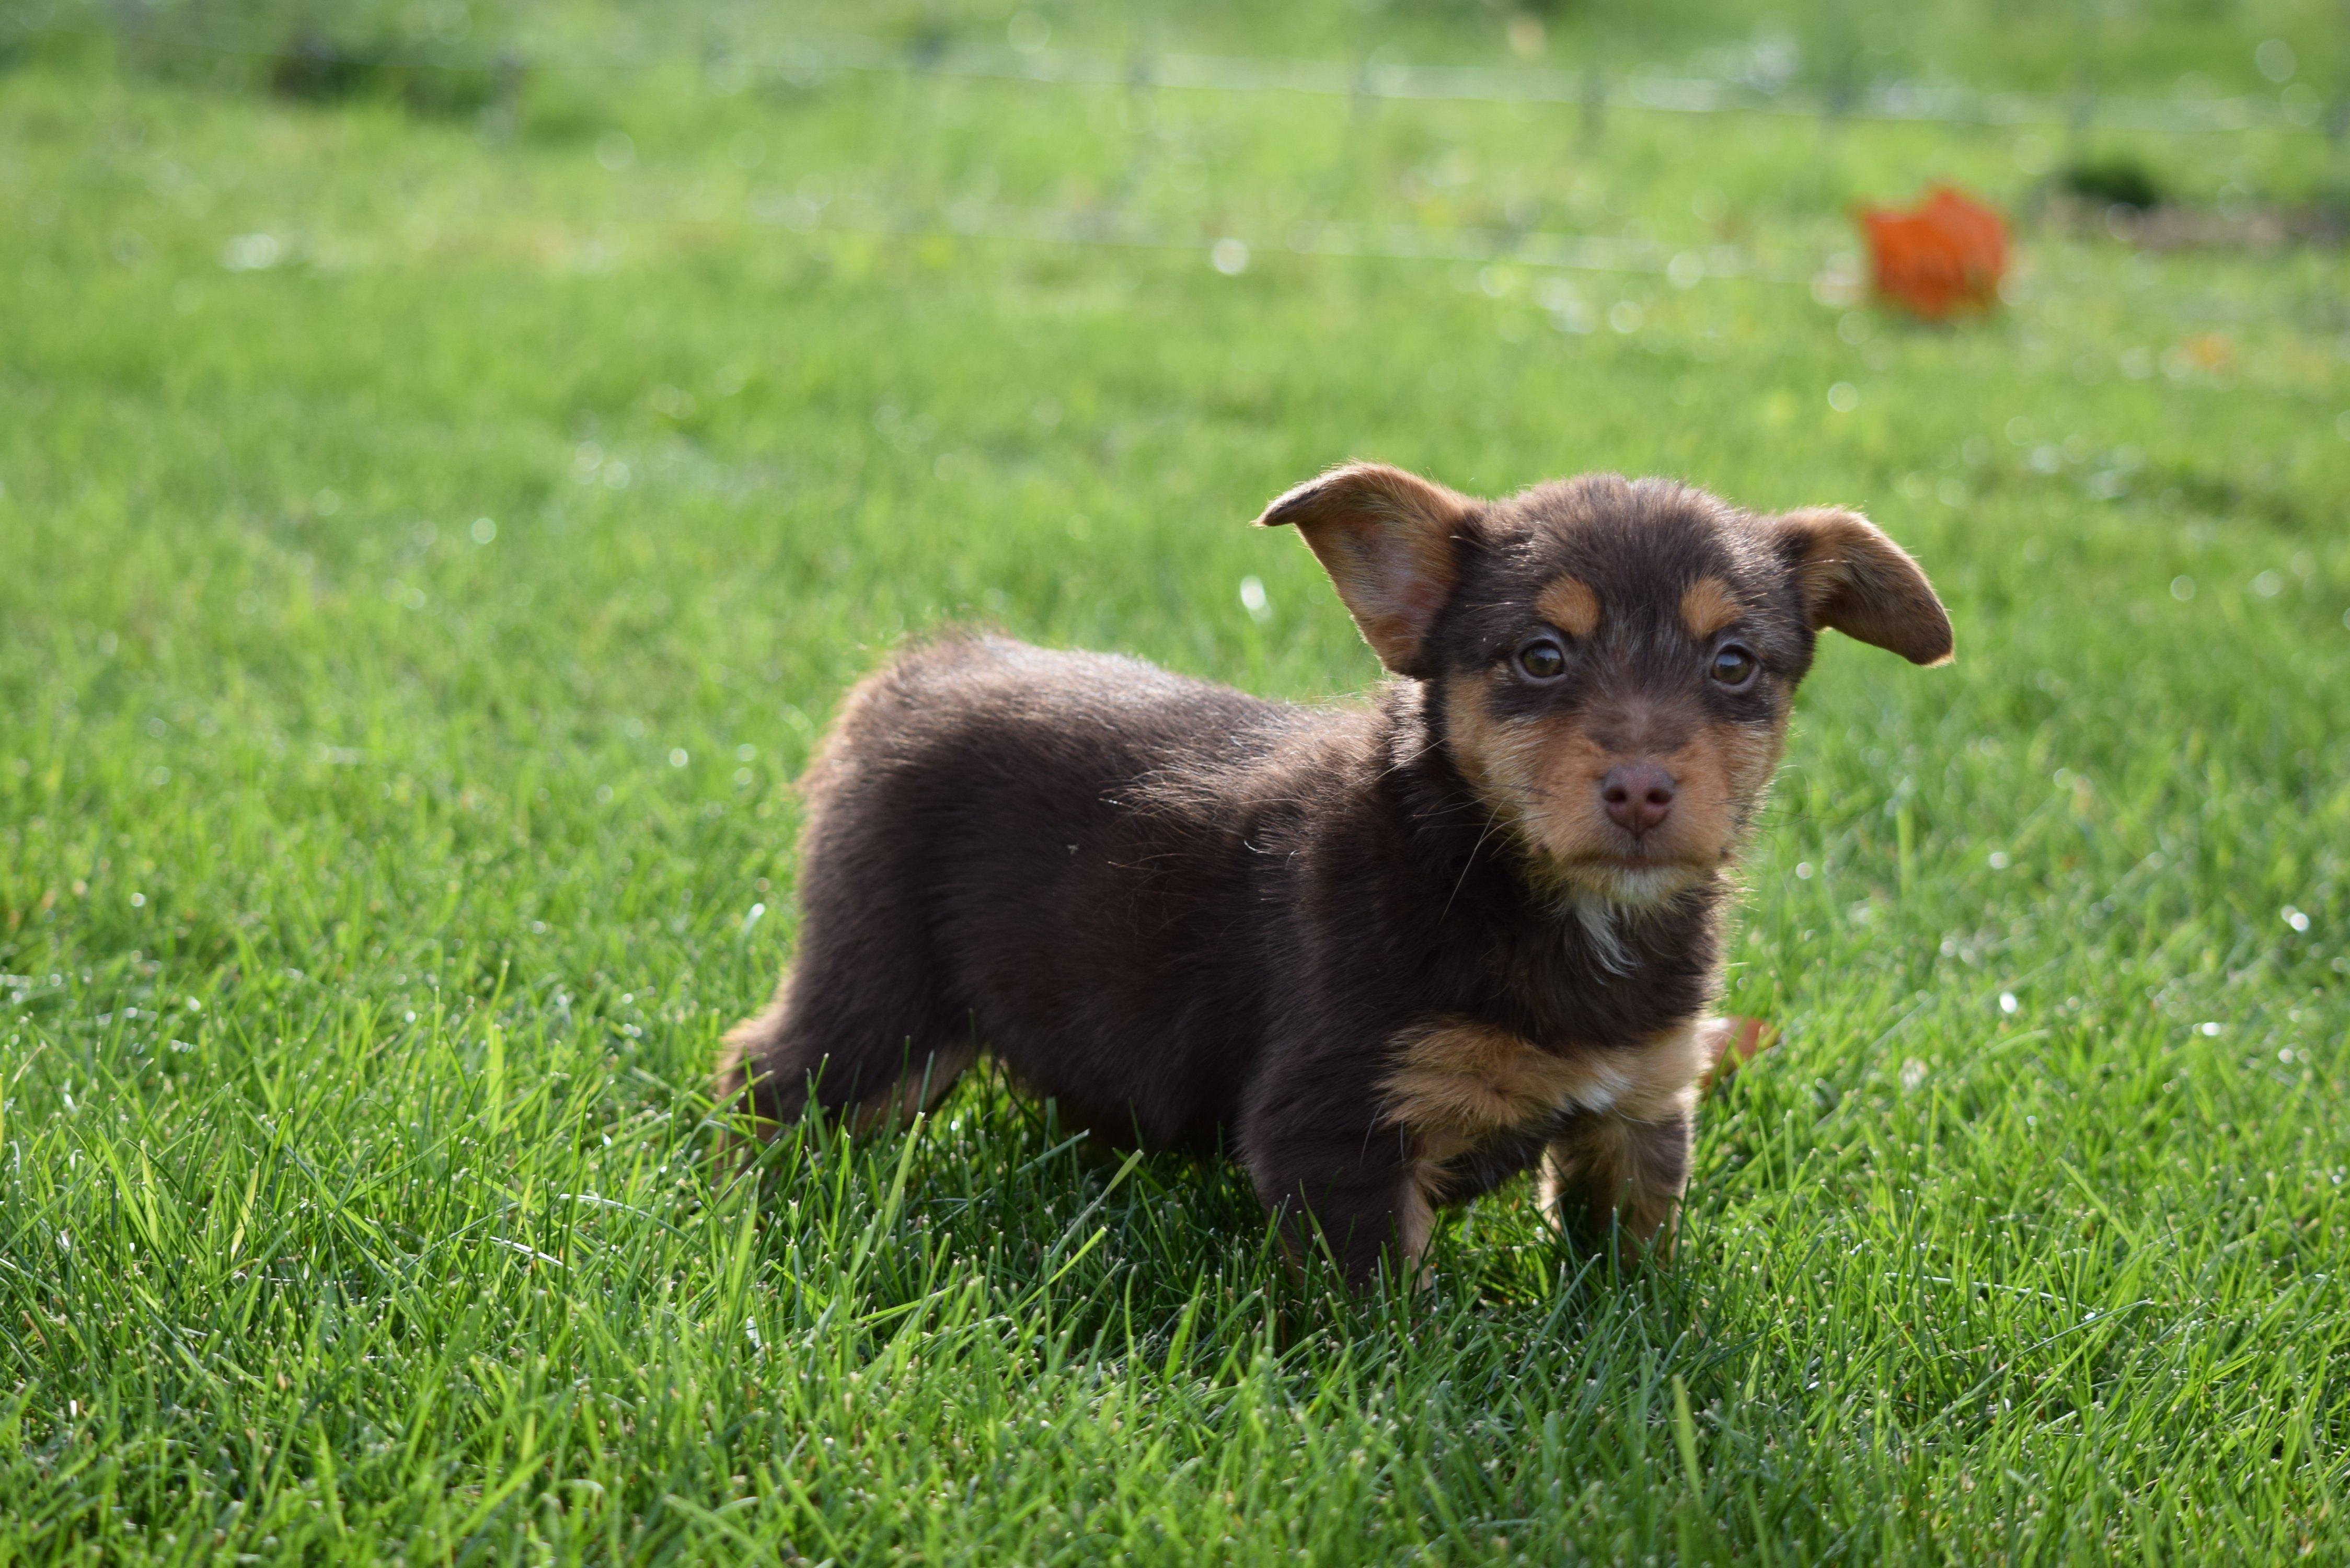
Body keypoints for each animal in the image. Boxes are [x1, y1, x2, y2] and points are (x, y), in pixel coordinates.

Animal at [709, 463, 1945, 1288]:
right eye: (1541, 657)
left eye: (1734, 665)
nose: (1642, 790)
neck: (1526, 889)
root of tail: (926, 670)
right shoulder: (1335, 1129)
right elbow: (1392, 1308)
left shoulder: (1641, 1107)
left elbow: (1634, 1259)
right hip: (878, 993)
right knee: (768, 1073)